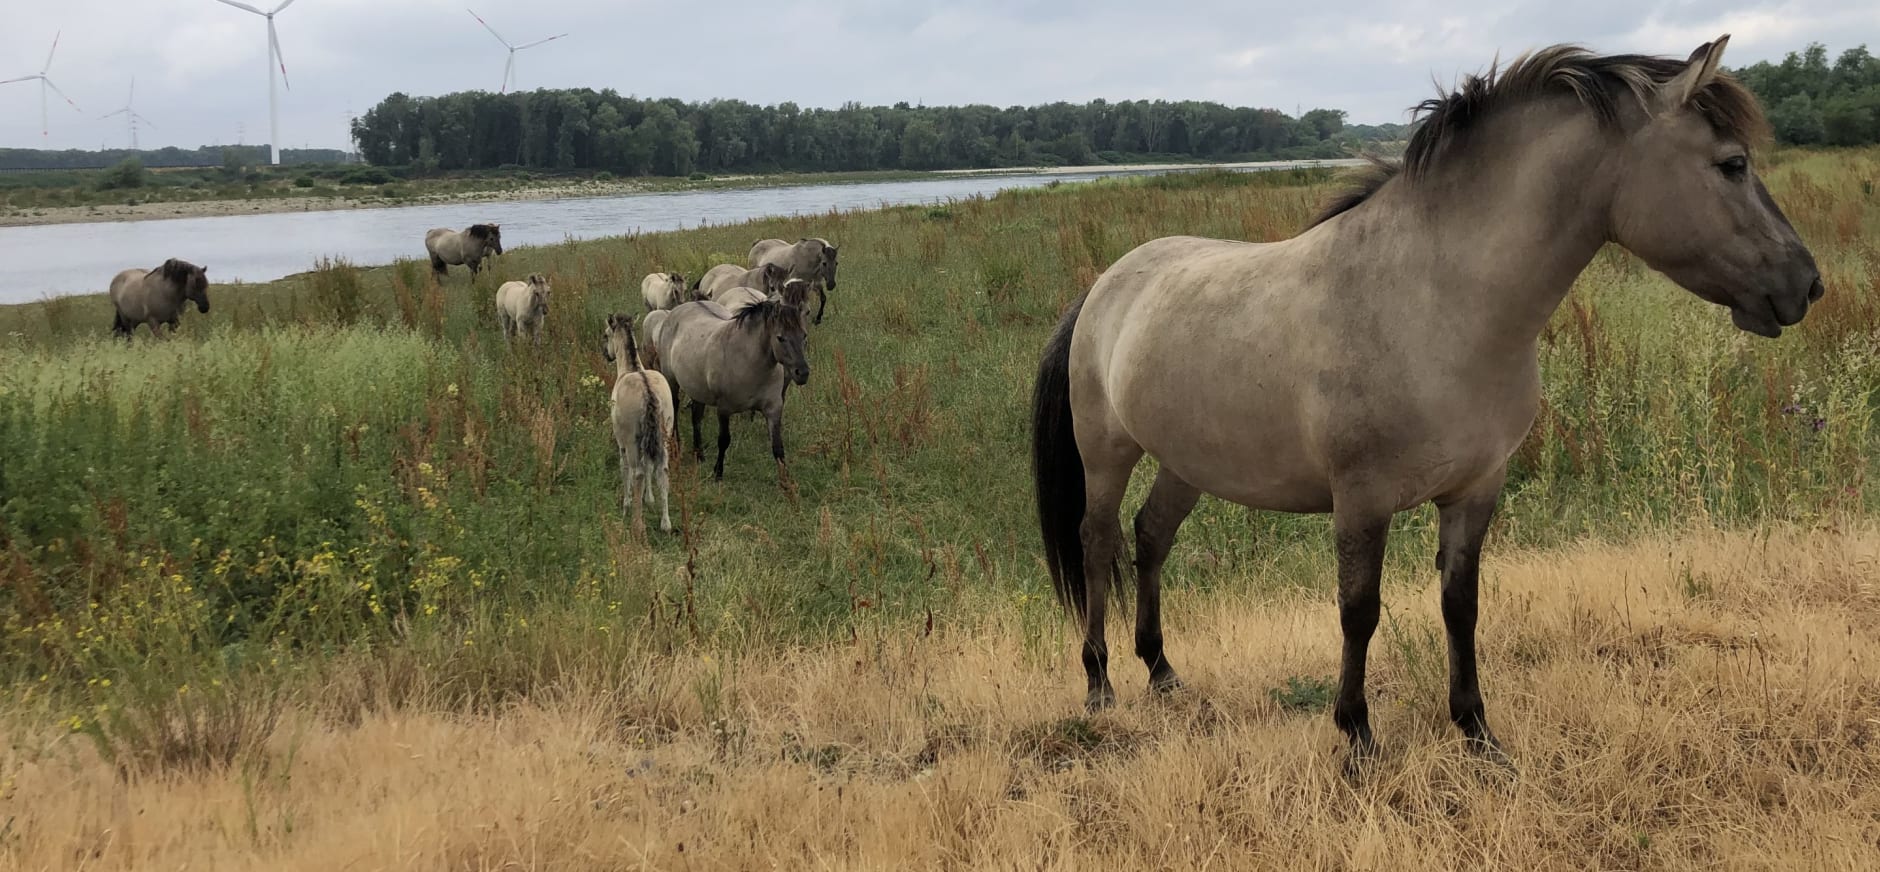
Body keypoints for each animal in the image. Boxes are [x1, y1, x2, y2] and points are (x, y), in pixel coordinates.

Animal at [601, 313, 676, 529]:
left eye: (606, 335)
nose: (606, 354)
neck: (631, 368)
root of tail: (648, 392)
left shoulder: (622, 442)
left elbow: (625, 468)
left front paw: (627, 503)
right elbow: (649, 466)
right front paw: (649, 499)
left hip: (632, 442)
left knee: (638, 472)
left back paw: (636, 520)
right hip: (663, 437)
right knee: (662, 470)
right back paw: (665, 523)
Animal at [646, 289, 808, 481]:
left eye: (804, 335)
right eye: (780, 338)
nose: (802, 373)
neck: (748, 362)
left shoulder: (773, 409)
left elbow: (778, 447)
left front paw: (786, 482)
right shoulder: (724, 409)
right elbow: (724, 440)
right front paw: (718, 473)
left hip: (697, 389)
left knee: (696, 417)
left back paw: (699, 454)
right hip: (671, 380)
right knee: (675, 410)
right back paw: (676, 448)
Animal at [1030, 37, 1819, 766]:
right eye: (1731, 164)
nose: (1806, 284)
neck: (1436, 303)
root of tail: (1104, 285)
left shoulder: (1475, 490)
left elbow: (1459, 606)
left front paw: (1477, 733)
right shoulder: (1362, 499)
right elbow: (1359, 611)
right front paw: (1358, 737)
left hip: (1186, 462)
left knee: (1151, 537)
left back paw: (1162, 671)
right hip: (1108, 454)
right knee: (1098, 544)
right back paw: (1099, 685)